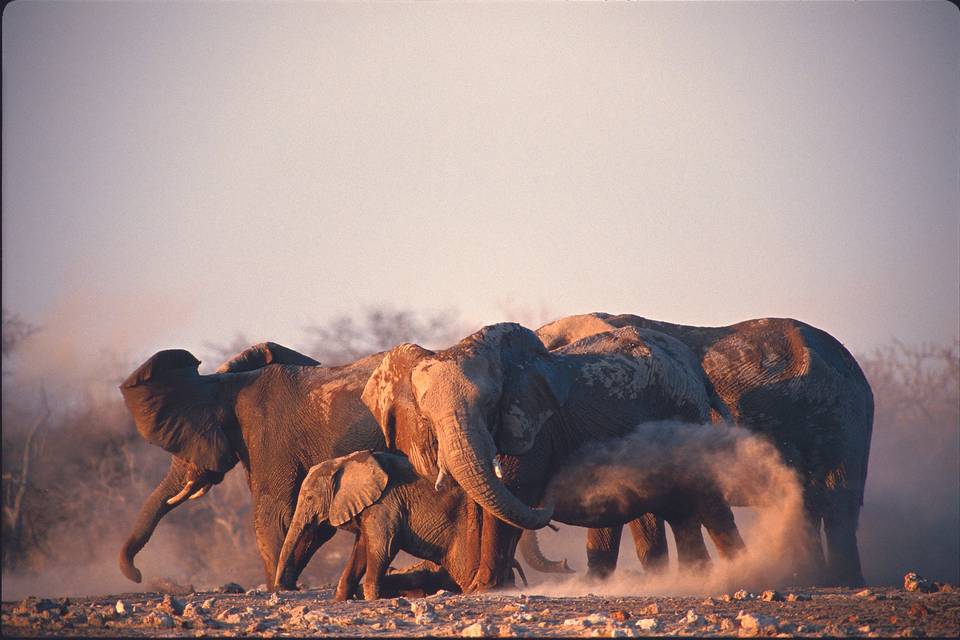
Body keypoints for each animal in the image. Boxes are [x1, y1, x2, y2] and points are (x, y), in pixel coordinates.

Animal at [112, 342, 382, 588]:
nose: (138, 576)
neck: (223, 385)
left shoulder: (270, 435)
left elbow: (273, 516)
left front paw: (278, 588)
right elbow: (312, 523)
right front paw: (285, 584)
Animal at [360, 322, 728, 592]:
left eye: (490, 405)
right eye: (426, 418)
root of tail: (691, 363)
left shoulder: (534, 431)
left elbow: (514, 492)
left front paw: (486, 589)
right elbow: (481, 503)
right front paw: (484, 586)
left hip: (685, 412)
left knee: (705, 499)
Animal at [536, 312, 872, 588]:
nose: (565, 566)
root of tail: (855, 368)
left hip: (839, 417)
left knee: (835, 502)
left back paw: (838, 582)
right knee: (812, 505)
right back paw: (813, 578)